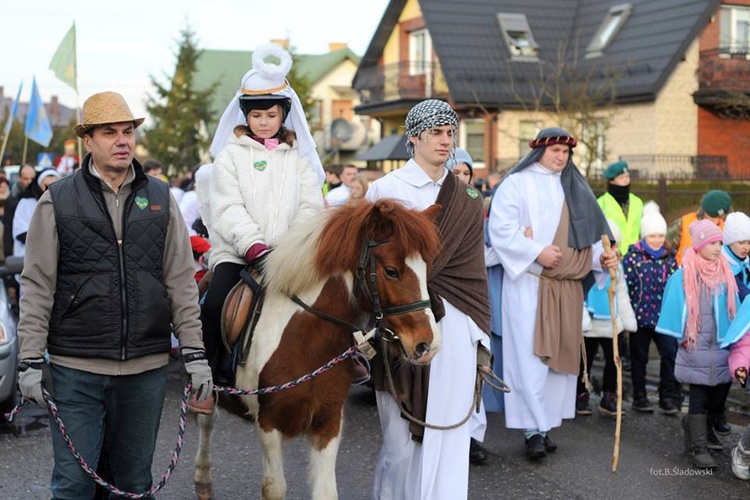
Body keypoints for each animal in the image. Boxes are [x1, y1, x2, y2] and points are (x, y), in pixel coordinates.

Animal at [194, 199, 444, 500]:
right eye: (391, 271)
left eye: (426, 269)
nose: (428, 344)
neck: (306, 342)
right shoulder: (268, 424)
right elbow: (274, 488)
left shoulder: (328, 422)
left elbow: (326, 491)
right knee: (206, 420)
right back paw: (203, 481)